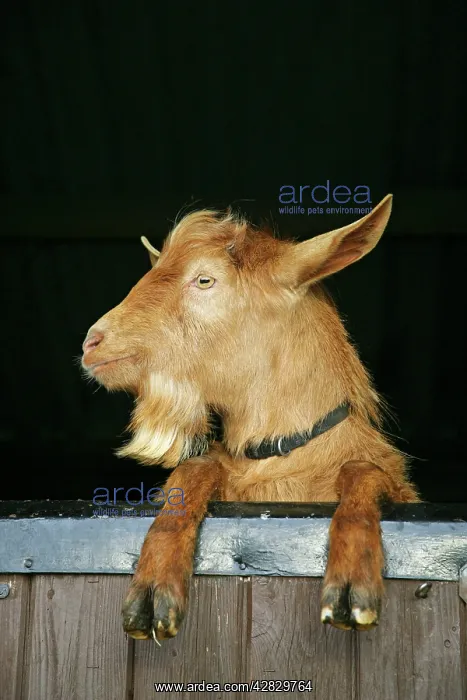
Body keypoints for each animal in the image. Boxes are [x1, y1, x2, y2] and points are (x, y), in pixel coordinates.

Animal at [81, 194, 418, 640]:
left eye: (204, 280)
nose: (92, 342)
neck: (279, 457)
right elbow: (195, 468)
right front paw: (152, 588)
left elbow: (363, 470)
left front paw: (352, 581)